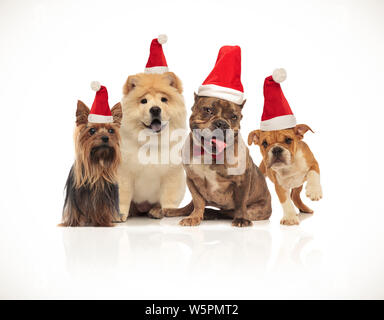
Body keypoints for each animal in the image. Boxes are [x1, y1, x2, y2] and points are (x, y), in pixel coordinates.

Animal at [164, 94, 272, 226]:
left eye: (234, 117)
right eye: (208, 110)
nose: (222, 123)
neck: (208, 153)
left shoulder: (242, 179)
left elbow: (240, 202)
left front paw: (241, 219)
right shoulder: (191, 180)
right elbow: (198, 201)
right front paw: (194, 217)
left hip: (255, 210)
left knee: (227, 212)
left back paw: (210, 213)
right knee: (191, 206)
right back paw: (173, 211)